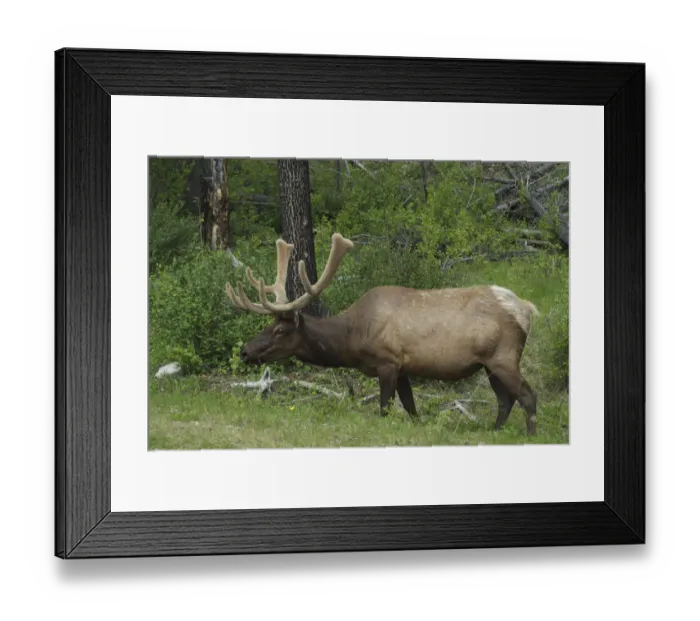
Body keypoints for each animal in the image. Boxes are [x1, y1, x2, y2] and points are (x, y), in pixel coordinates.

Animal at [225, 233, 540, 436]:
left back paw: (530, 435)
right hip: (488, 364)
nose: (245, 350)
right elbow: (411, 409)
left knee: (527, 395)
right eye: (266, 326)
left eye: (280, 330)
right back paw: (494, 432)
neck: (352, 340)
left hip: (504, 356)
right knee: (505, 399)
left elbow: (385, 410)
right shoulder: (403, 368)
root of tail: (527, 308)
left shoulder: (387, 361)